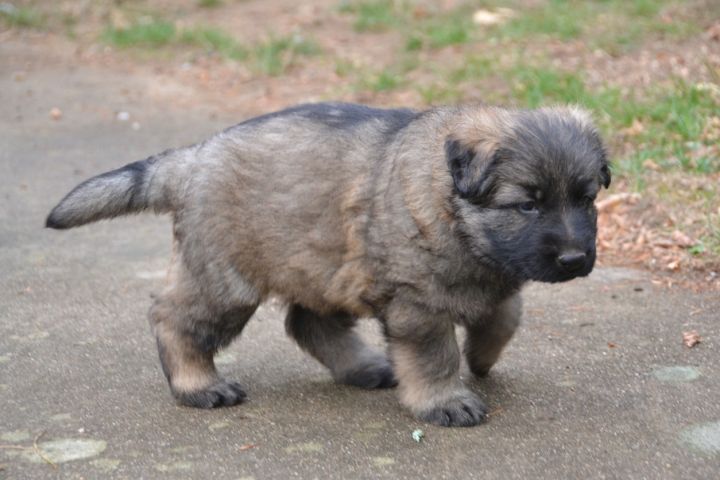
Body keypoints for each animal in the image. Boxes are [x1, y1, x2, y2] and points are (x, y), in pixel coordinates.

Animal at [46, 102, 610, 427]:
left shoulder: (497, 273)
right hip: (225, 278)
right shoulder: (418, 305)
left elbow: (505, 314)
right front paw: (444, 400)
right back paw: (199, 386)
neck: (452, 208)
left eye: (587, 198)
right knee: (174, 318)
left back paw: (365, 366)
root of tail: (192, 158)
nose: (574, 258)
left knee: (307, 323)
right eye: (528, 204)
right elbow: (435, 355)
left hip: (323, 265)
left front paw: (483, 357)